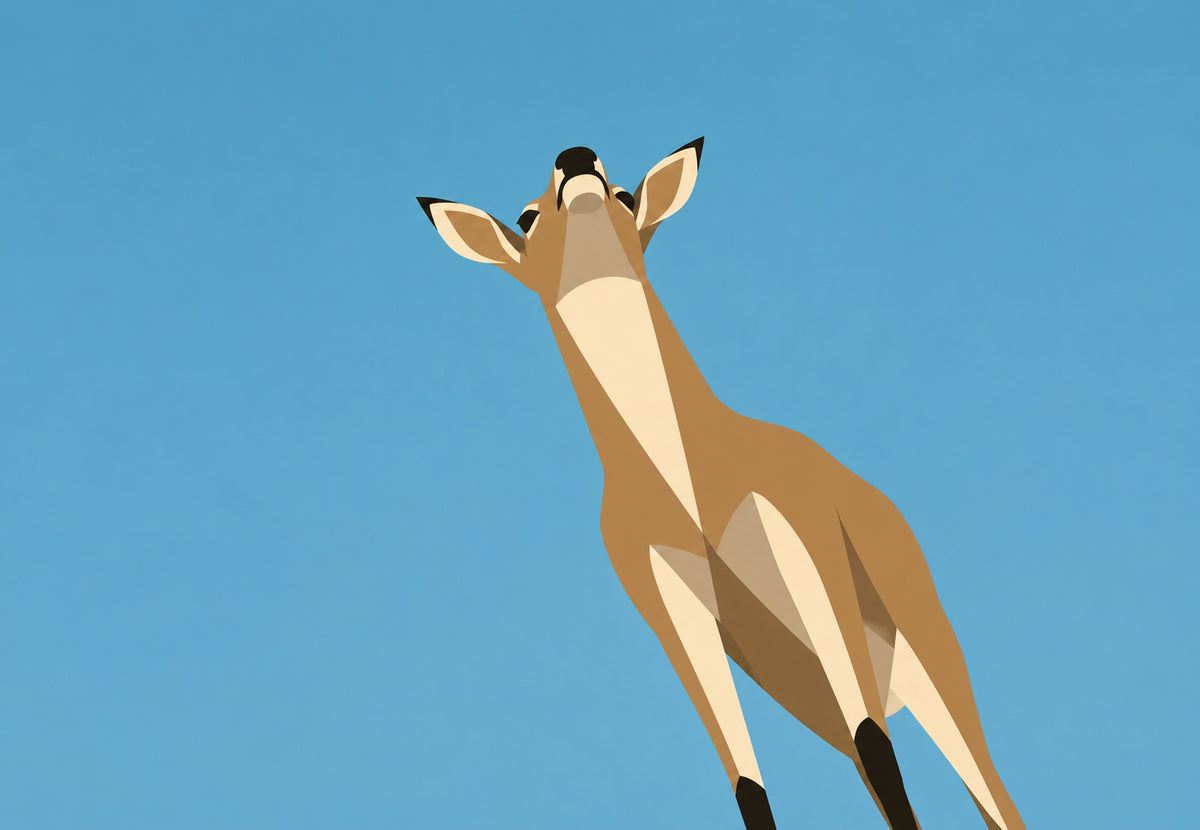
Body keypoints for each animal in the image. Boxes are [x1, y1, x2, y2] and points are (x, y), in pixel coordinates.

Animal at [416, 139, 1025, 830]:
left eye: (625, 194)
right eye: (526, 216)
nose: (576, 157)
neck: (689, 490)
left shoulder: (807, 552)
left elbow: (878, 744)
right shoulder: (671, 610)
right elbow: (750, 788)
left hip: (926, 659)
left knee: (985, 788)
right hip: (812, 694)